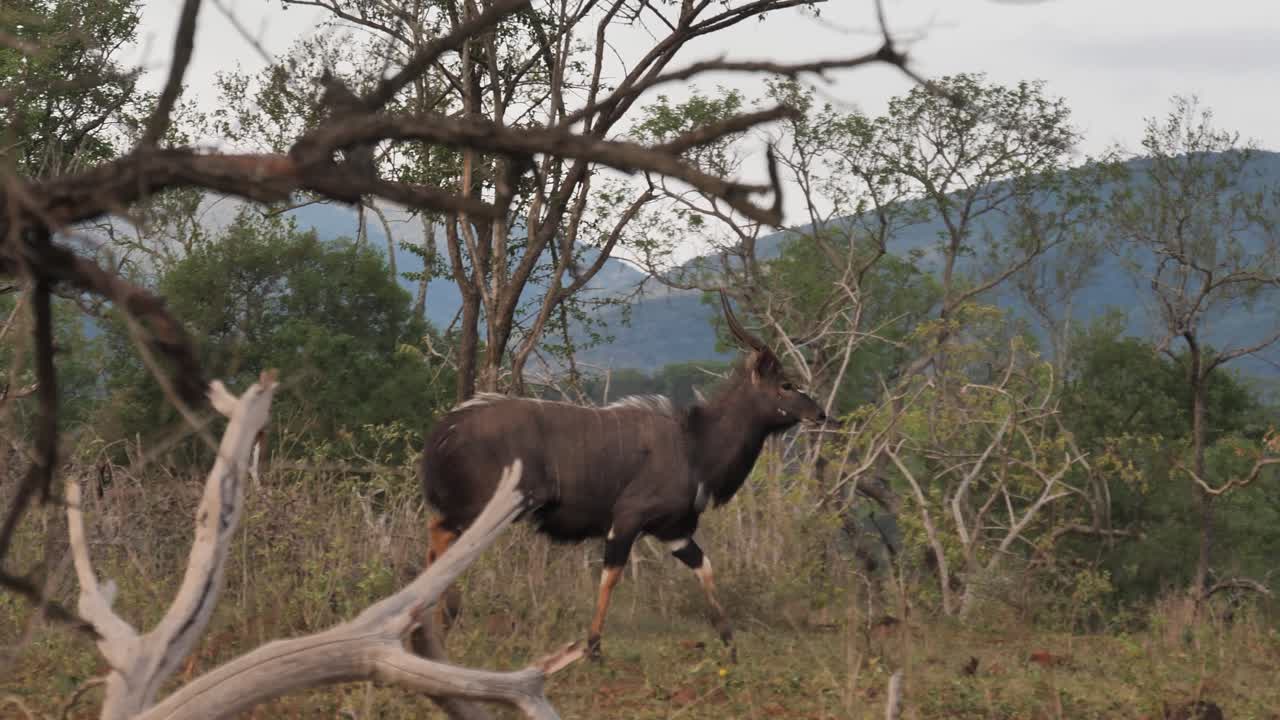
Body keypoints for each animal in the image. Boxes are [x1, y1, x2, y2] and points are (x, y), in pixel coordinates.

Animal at [416, 291, 832, 659]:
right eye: (786, 384)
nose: (820, 413)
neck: (694, 445)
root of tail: (444, 432)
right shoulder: (628, 518)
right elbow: (611, 576)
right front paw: (594, 648)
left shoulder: (674, 531)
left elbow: (705, 568)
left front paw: (730, 644)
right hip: (485, 508)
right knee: (439, 533)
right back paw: (438, 618)